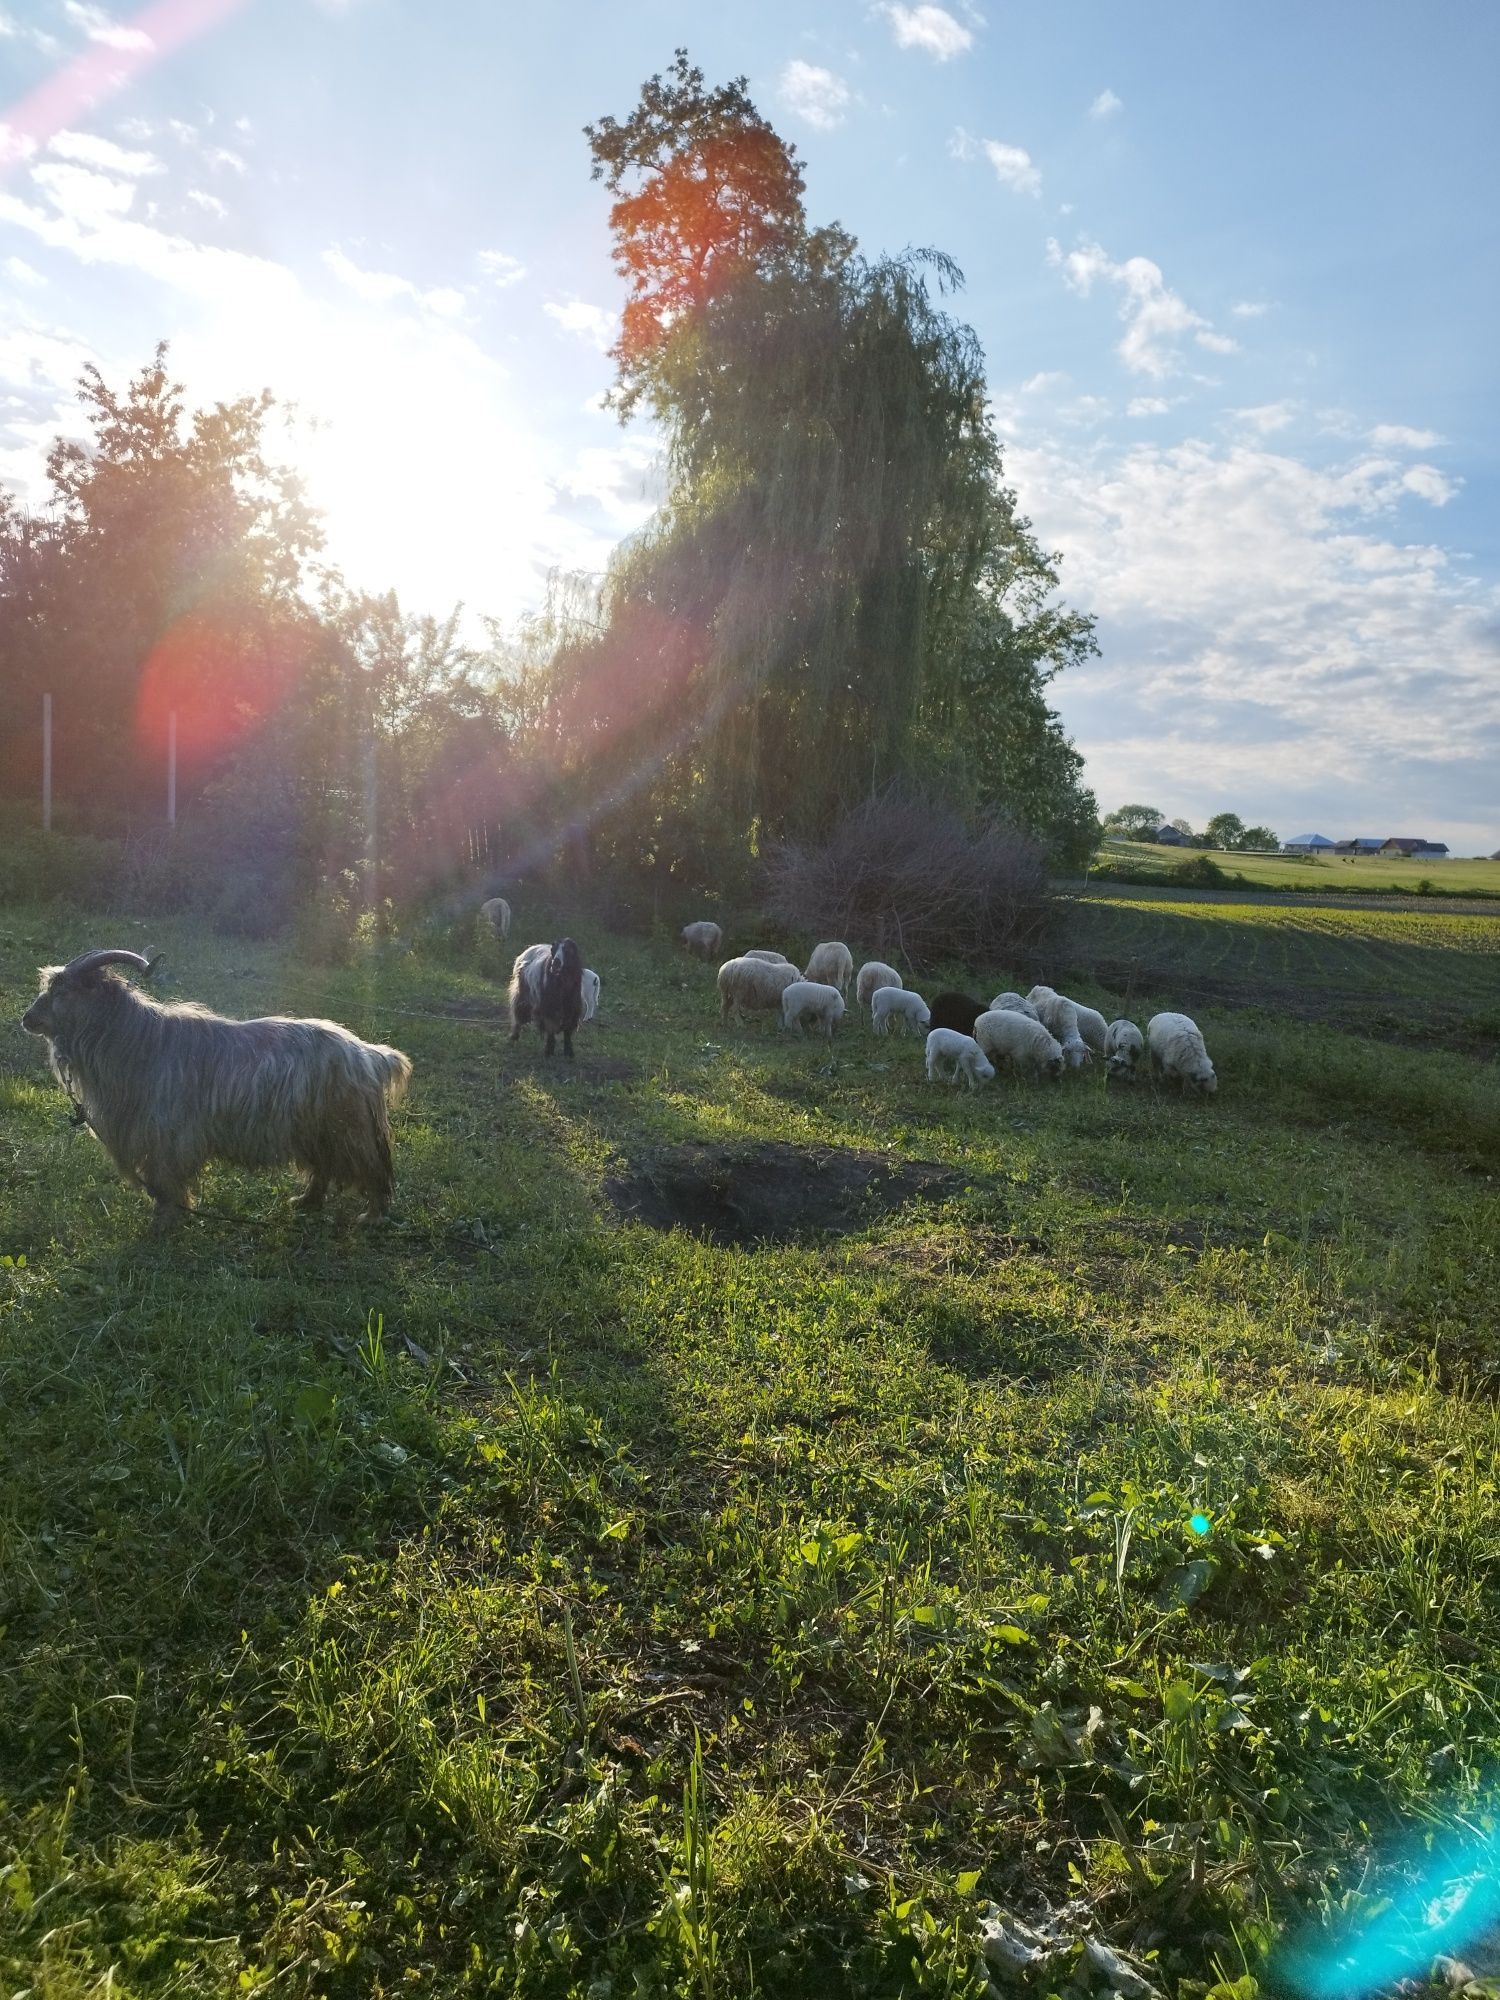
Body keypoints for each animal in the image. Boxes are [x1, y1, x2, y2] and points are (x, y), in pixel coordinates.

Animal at [19, 944, 418, 1224]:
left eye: (63, 992)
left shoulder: (169, 1134)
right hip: (316, 1131)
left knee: (374, 1172)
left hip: (352, 1131)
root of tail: (369, 1054)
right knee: (323, 1169)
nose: (27, 1018)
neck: (135, 1040)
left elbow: (166, 1176)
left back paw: (371, 1216)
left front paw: (165, 1219)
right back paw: (306, 1202)